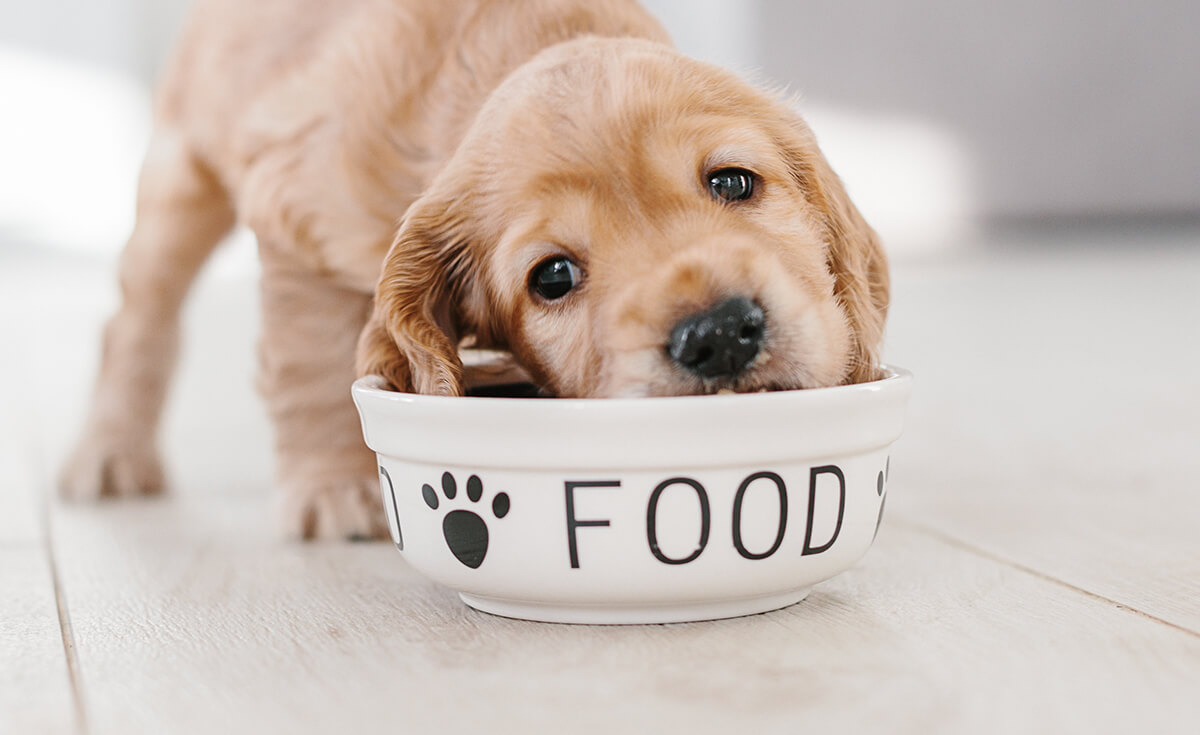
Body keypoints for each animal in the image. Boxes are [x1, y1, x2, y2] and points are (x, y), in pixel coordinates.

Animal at [60, 0, 888, 540]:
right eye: (552, 277)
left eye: (733, 182)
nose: (717, 335)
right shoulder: (295, 219)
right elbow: (310, 364)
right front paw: (332, 488)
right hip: (181, 177)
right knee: (136, 317)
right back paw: (110, 453)